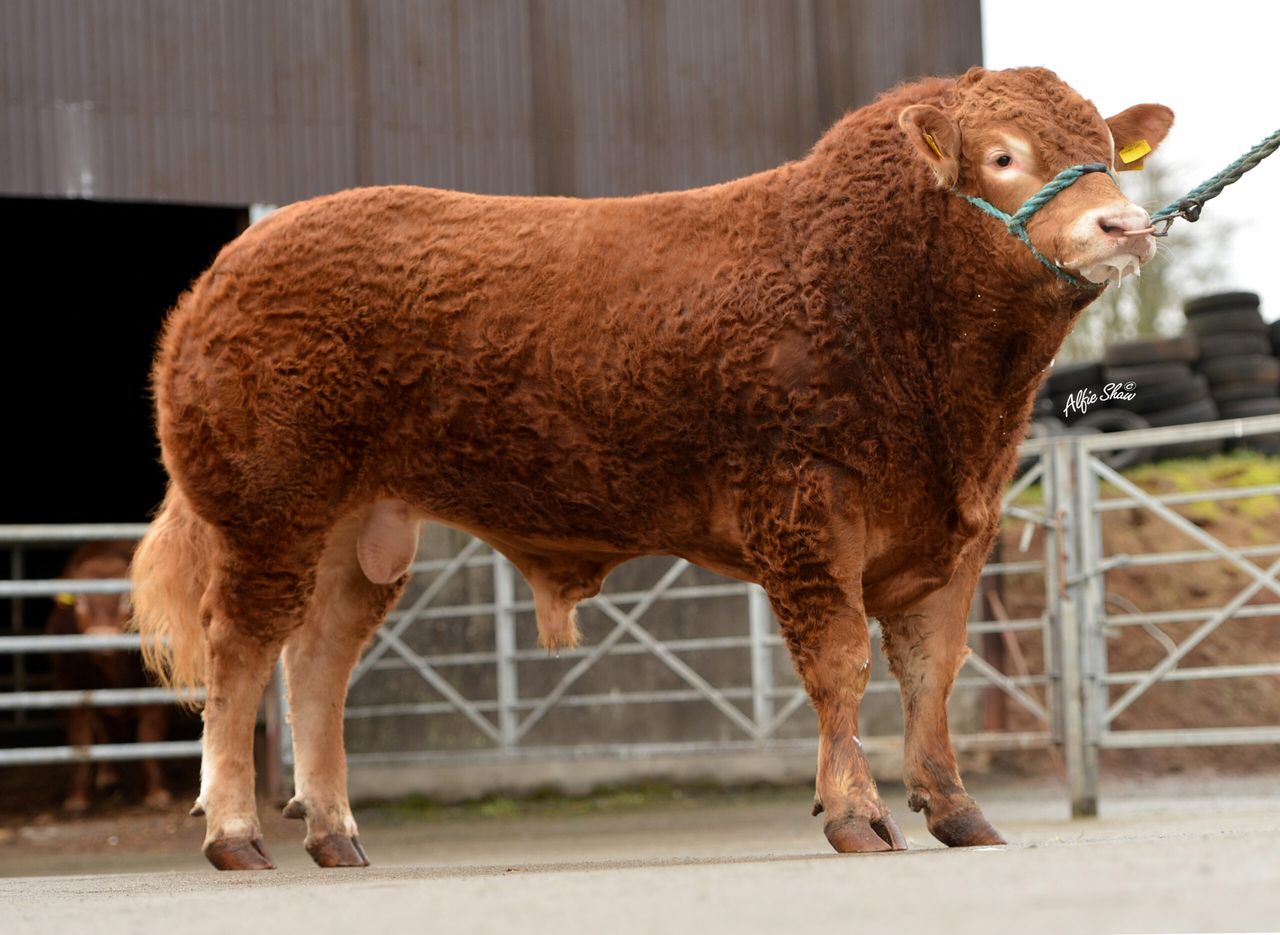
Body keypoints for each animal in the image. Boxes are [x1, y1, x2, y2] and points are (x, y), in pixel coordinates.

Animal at [47, 540, 170, 812]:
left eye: (126, 600)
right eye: (80, 601)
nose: (102, 637)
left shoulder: (154, 692)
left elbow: (150, 739)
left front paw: (157, 793)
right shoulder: (72, 691)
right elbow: (81, 741)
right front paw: (77, 798)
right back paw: (106, 774)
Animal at [132, 66, 1172, 869]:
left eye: (1102, 147)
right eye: (1003, 156)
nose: (1127, 225)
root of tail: (229, 265)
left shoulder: (957, 525)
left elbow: (934, 672)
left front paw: (957, 811)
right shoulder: (804, 510)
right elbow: (840, 665)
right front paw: (857, 813)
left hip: (361, 529)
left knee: (318, 661)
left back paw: (335, 833)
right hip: (268, 508)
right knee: (240, 653)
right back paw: (236, 833)